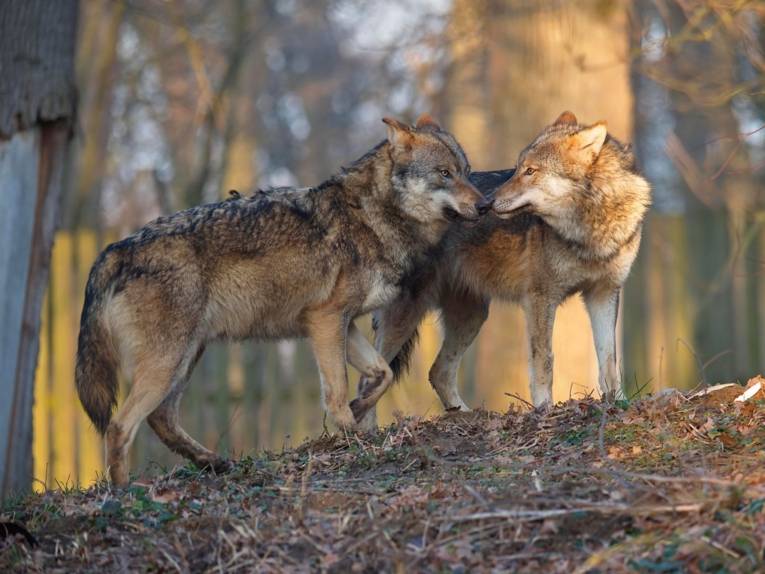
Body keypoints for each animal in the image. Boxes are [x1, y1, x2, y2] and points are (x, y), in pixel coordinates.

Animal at [74, 116, 486, 486]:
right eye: (445, 173)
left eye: (467, 173)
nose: (484, 206)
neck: (372, 216)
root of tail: (113, 250)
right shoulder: (326, 320)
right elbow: (336, 390)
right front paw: (350, 434)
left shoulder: (340, 323)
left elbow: (381, 374)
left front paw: (359, 413)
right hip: (168, 362)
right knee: (120, 426)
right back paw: (123, 493)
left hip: (186, 357)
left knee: (161, 419)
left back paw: (212, 463)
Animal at [354, 110, 652, 426]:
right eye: (518, 168)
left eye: (531, 171)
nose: (487, 203)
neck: (590, 232)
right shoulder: (540, 298)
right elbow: (544, 360)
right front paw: (544, 409)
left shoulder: (604, 293)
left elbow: (609, 360)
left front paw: (617, 404)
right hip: (408, 317)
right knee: (371, 378)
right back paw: (368, 432)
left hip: (472, 316)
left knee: (438, 372)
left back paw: (467, 416)